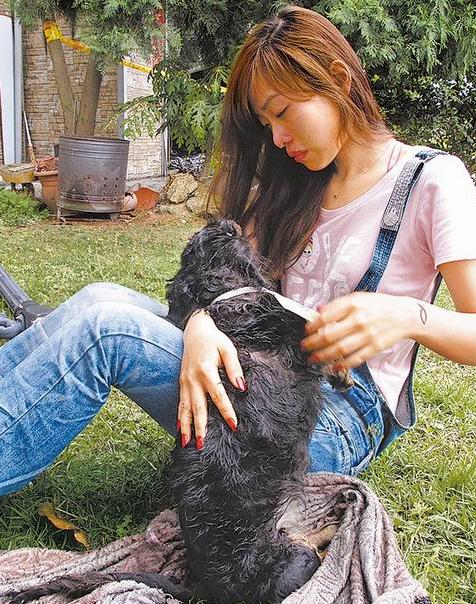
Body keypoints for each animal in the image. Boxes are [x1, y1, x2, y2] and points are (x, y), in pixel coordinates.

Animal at [14, 219, 351, 604]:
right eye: (206, 244)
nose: (225, 223)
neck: (226, 298)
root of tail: (203, 583)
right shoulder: (295, 331)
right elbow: (318, 326)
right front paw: (343, 369)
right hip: (296, 559)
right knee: (314, 549)